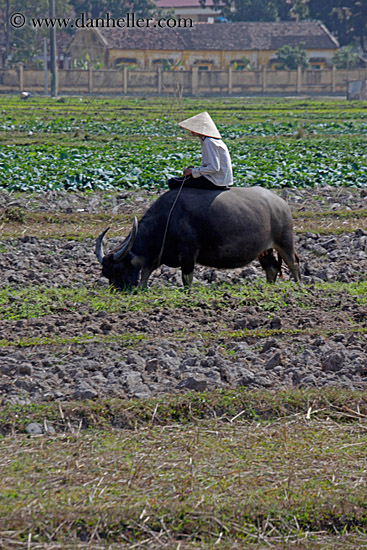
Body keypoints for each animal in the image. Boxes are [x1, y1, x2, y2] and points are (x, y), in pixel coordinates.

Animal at [95, 187, 302, 292]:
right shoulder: (155, 258)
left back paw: (300, 287)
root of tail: (280, 203)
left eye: (118, 269)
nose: (118, 291)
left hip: (284, 241)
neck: (167, 220)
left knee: (293, 263)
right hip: (264, 249)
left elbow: (186, 279)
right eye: (106, 273)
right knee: (272, 267)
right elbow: (145, 273)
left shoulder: (188, 255)